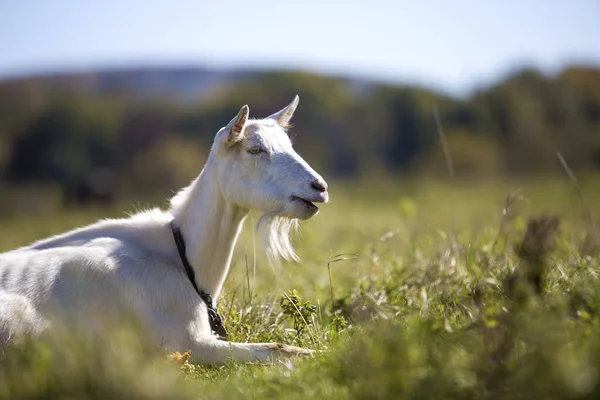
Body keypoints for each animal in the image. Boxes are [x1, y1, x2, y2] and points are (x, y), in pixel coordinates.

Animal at [0, 96, 328, 362]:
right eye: (255, 149)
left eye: (289, 146)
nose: (320, 187)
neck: (183, 257)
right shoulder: (188, 341)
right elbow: (280, 349)